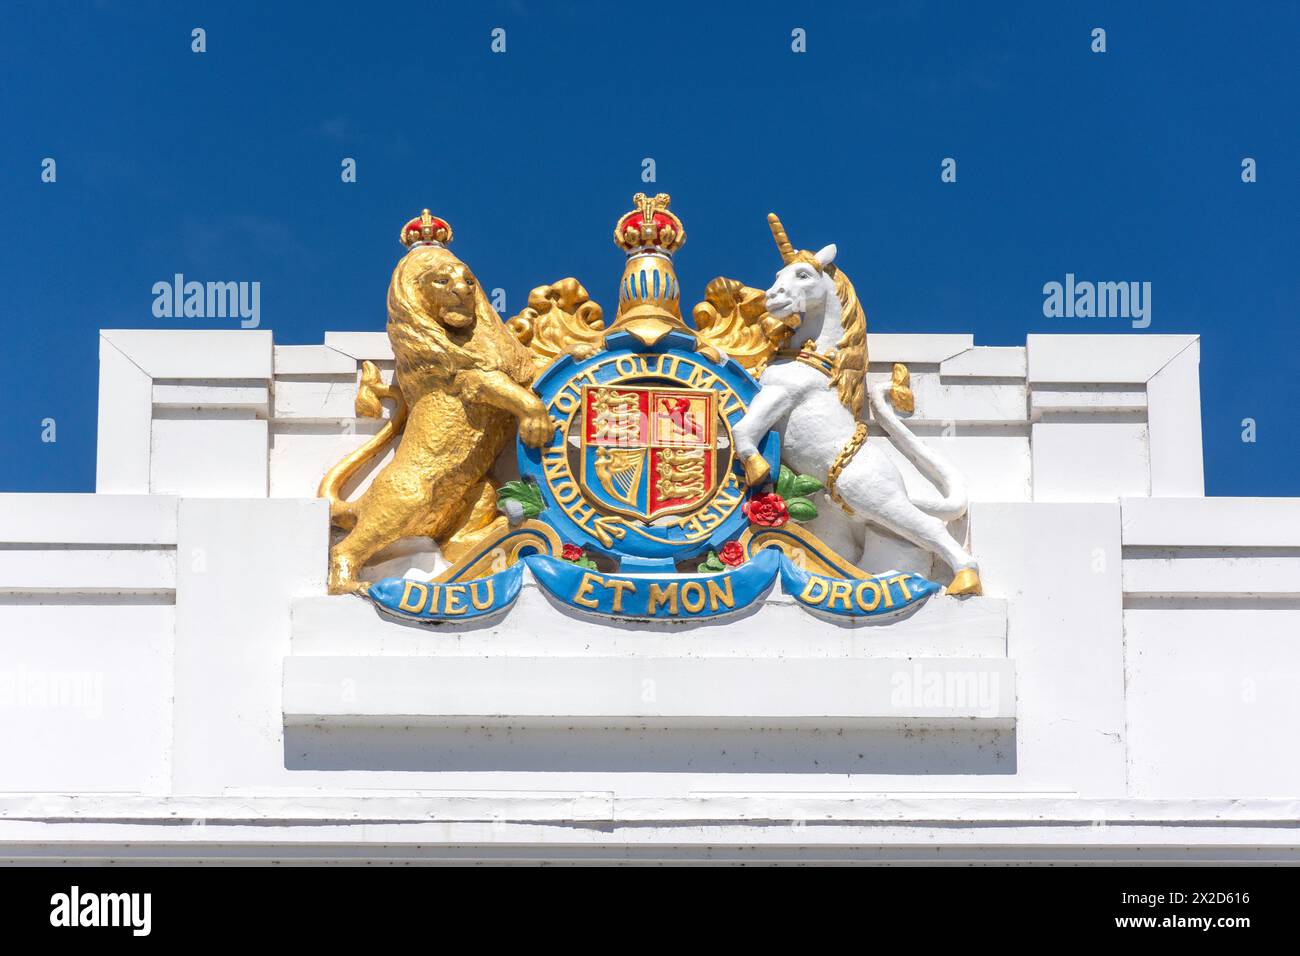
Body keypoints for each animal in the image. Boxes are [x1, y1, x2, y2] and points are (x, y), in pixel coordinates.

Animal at [322, 243, 556, 595]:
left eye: (469, 280)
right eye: (442, 280)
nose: (464, 292)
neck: (457, 333)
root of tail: (359, 504)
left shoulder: (518, 364)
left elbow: (541, 363)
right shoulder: (473, 377)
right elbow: (515, 393)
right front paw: (537, 422)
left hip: (482, 488)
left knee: (455, 545)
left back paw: (502, 524)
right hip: (407, 498)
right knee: (344, 548)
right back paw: (352, 586)